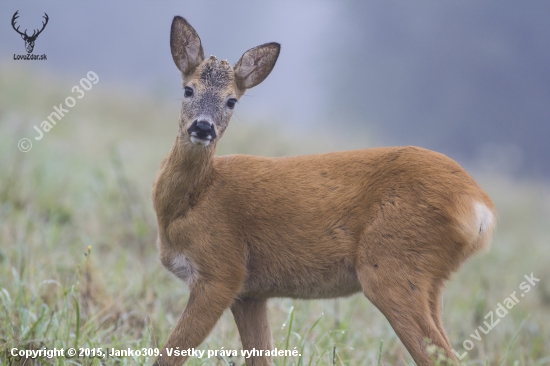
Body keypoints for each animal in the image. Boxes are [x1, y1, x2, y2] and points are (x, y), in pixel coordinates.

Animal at [153, 15, 498, 366]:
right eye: (188, 89)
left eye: (231, 100)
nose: (203, 127)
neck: (192, 201)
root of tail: (480, 206)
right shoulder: (249, 292)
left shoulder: (222, 270)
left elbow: (169, 354)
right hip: (430, 279)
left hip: (392, 266)